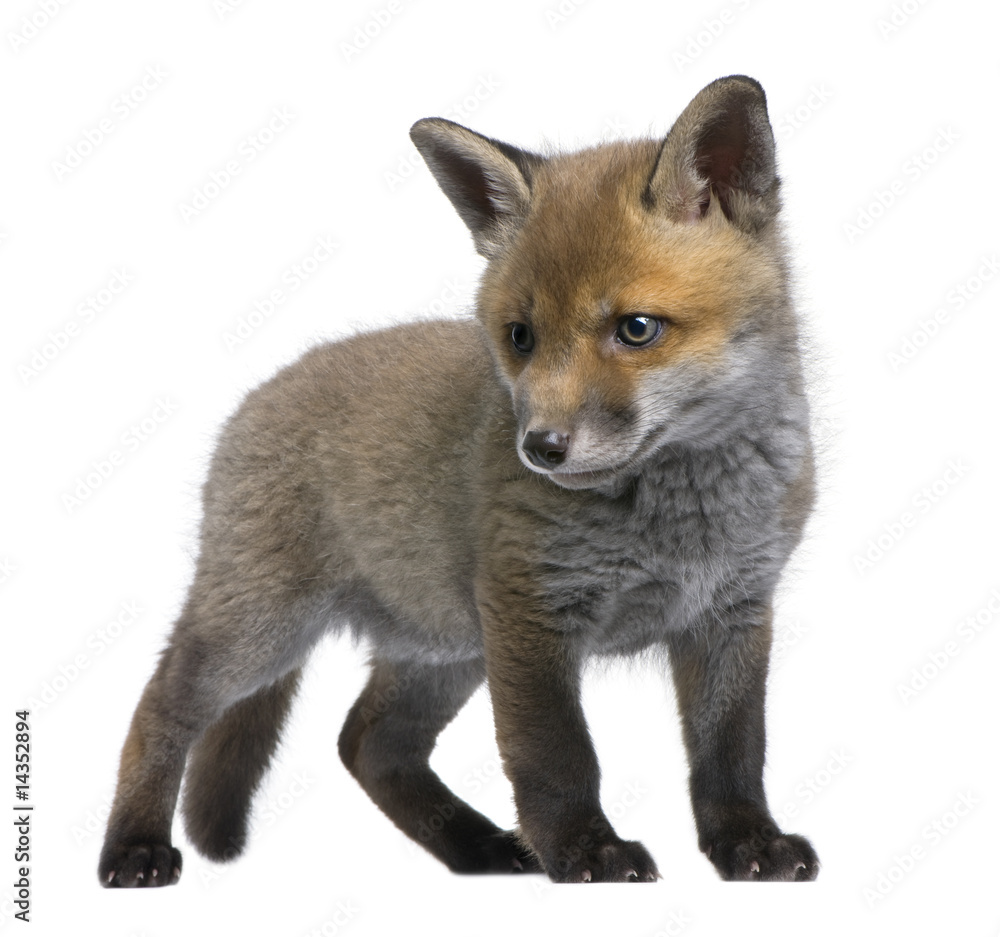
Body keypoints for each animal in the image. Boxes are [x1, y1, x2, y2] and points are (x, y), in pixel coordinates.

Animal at [98, 74, 819, 886]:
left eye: (636, 329)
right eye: (521, 337)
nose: (541, 447)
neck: (683, 515)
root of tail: (261, 392)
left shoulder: (733, 612)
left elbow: (732, 752)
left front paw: (749, 842)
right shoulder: (530, 613)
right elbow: (556, 757)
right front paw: (585, 851)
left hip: (444, 651)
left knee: (367, 741)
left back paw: (478, 847)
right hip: (263, 630)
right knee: (160, 705)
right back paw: (133, 846)